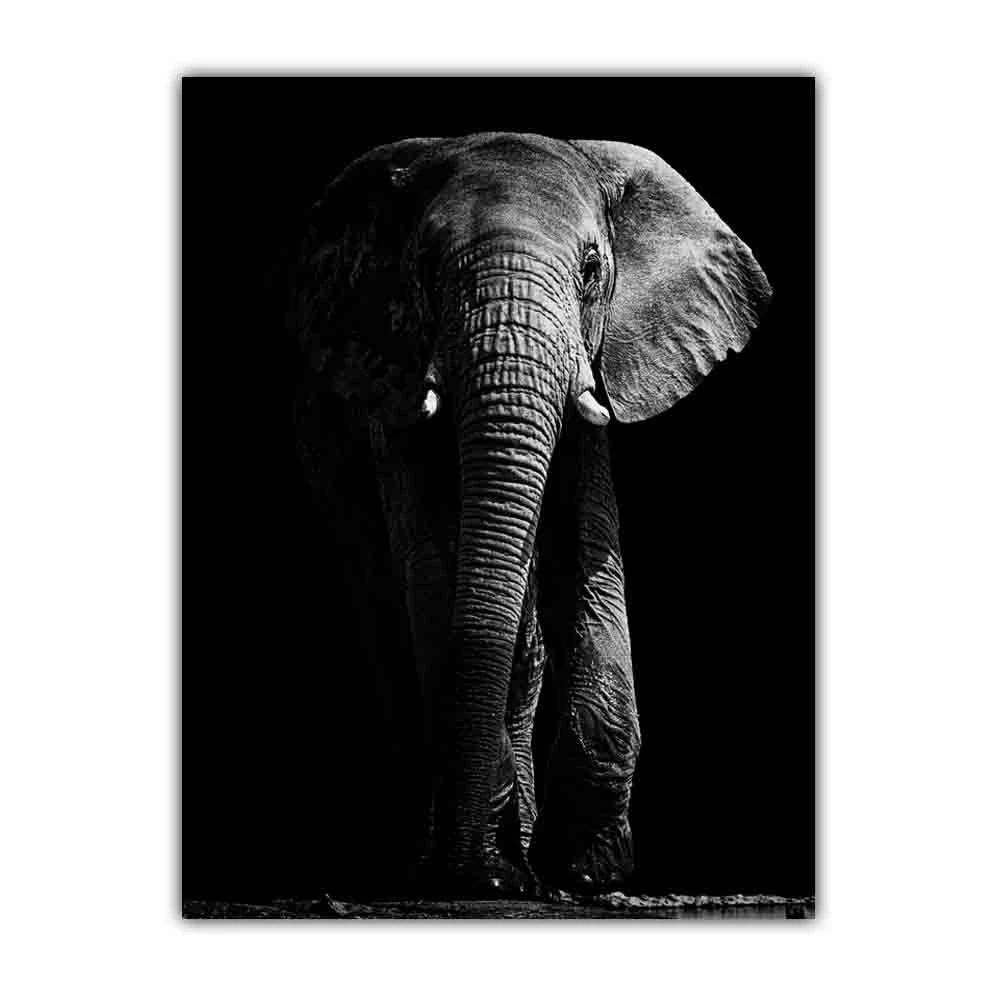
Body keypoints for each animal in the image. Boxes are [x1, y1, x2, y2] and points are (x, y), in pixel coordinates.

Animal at [292, 132, 771, 898]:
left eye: (591, 270)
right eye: (426, 268)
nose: (474, 879)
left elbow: (588, 546)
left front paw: (592, 872)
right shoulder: (390, 377)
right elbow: (431, 569)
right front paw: (482, 870)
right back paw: (438, 859)